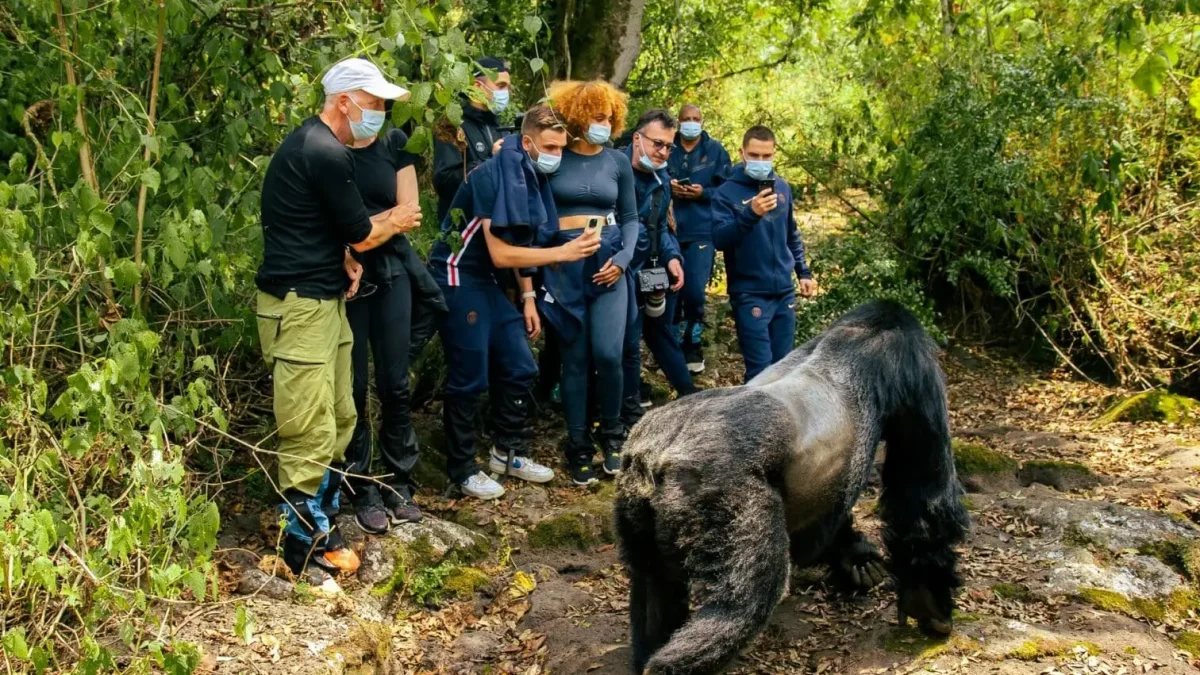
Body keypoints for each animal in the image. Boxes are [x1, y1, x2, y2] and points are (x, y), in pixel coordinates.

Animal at [614, 300, 969, 675]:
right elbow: (923, 496)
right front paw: (928, 599)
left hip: (633, 493)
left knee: (655, 584)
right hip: (720, 489)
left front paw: (855, 557)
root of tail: (657, 449)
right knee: (739, 609)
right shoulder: (914, 368)